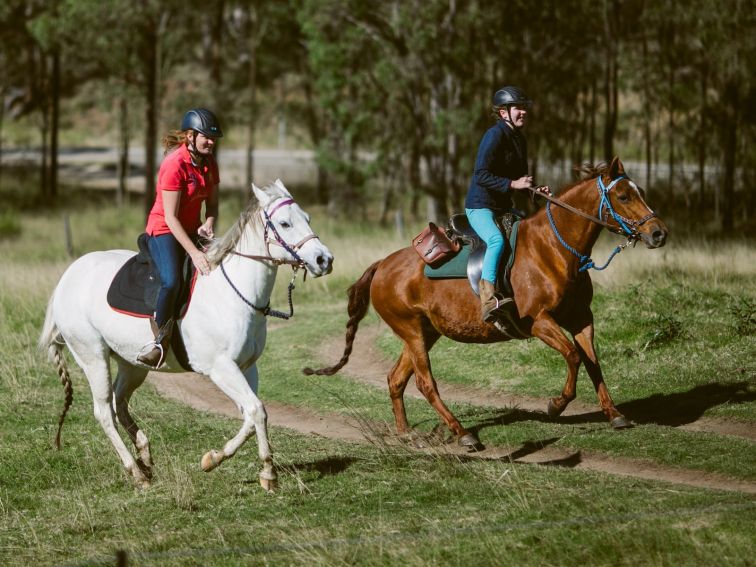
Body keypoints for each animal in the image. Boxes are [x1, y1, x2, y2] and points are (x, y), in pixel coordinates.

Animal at [39, 180, 332, 490]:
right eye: (285, 223)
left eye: (307, 218)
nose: (324, 259)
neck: (233, 292)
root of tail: (67, 277)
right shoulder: (221, 368)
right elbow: (256, 410)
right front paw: (268, 473)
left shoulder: (246, 367)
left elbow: (250, 416)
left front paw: (213, 459)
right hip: (93, 358)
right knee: (105, 412)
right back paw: (136, 472)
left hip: (133, 363)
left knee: (120, 402)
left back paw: (144, 455)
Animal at [306, 159, 668, 448]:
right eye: (623, 196)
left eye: (640, 191)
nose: (659, 233)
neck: (554, 248)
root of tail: (382, 264)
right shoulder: (540, 321)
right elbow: (573, 356)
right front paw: (556, 404)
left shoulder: (581, 318)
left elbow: (592, 361)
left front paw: (614, 414)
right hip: (410, 331)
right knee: (424, 383)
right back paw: (463, 434)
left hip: (424, 333)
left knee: (397, 379)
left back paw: (406, 433)